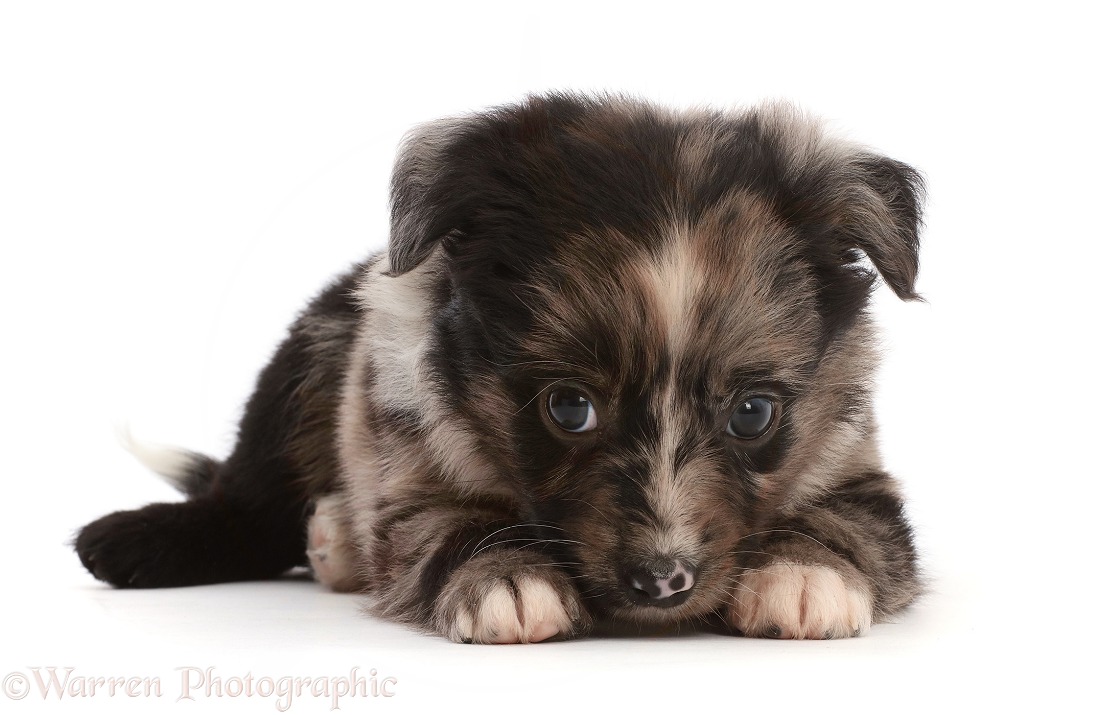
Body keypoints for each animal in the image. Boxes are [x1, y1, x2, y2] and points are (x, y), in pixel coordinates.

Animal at [75, 92, 927, 645]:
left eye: (752, 412)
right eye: (568, 407)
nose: (662, 583)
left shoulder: (855, 460)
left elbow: (852, 521)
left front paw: (807, 572)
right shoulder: (407, 458)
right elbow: (444, 524)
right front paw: (506, 578)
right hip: (309, 356)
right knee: (249, 497)